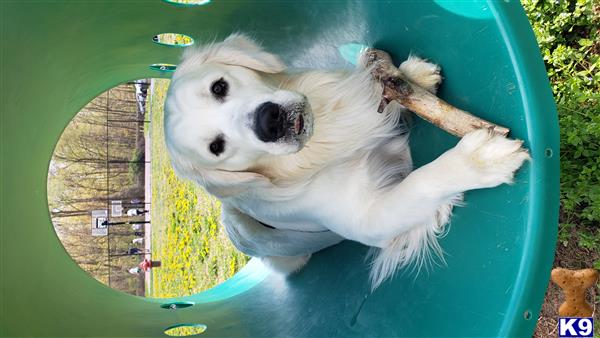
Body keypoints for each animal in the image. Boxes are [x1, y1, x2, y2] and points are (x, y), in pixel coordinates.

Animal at [163, 33, 524, 288]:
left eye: (219, 86)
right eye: (216, 147)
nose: (269, 121)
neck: (321, 143)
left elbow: (383, 96)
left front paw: (412, 76)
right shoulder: (368, 219)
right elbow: (420, 182)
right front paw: (479, 160)